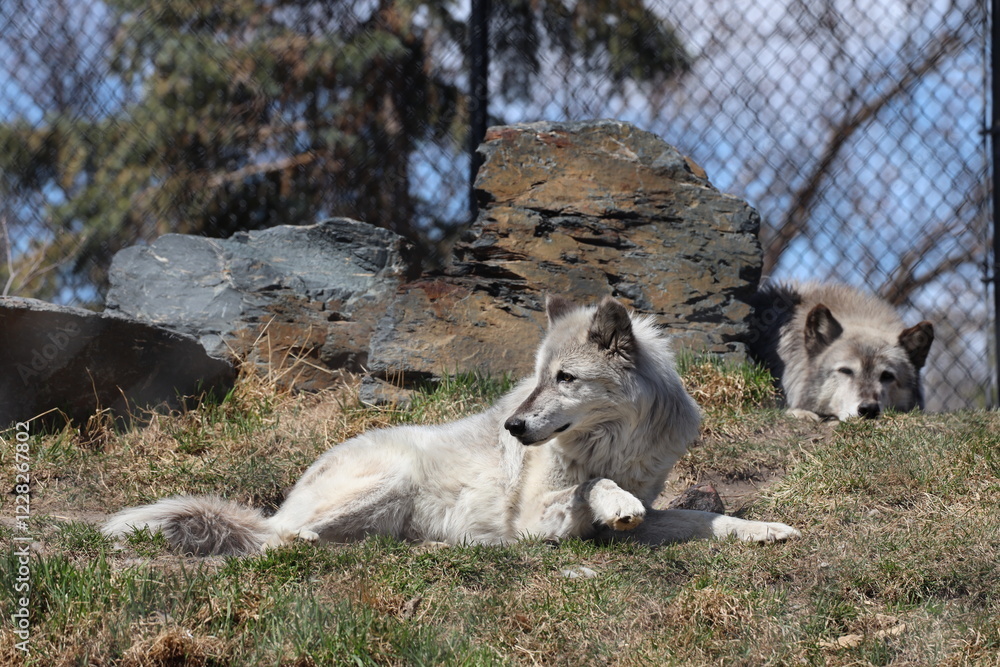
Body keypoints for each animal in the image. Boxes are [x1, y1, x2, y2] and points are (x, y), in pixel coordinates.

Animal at [104, 296, 800, 555]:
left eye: (564, 378)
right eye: (536, 375)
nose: (514, 426)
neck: (614, 443)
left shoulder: (657, 504)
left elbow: (703, 517)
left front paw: (766, 529)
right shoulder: (537, 515)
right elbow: (589, 488)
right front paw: (612, 500)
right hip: (388, 479)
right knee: (280, 537)